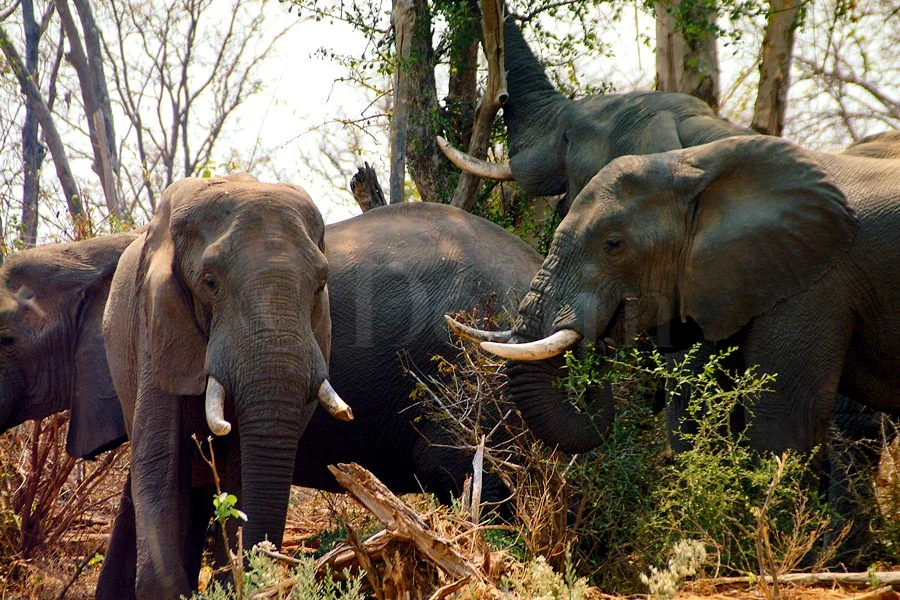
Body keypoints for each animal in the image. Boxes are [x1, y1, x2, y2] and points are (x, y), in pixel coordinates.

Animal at [461, 135, 899, 461]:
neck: (694, 164)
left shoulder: (813, 281)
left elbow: (785, 424)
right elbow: (697, 411)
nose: (597, 341)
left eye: (613, 245)